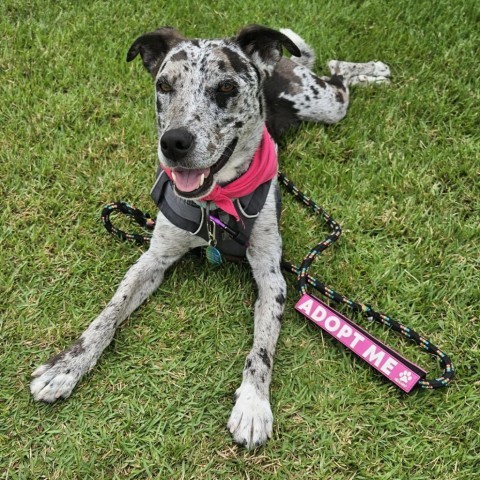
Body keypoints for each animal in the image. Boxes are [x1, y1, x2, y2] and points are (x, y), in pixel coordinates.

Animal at [31, 26, 390, 448]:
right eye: (164, 85)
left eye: (226, 88)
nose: (174, 142)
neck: (215, 204)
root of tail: (280, 60)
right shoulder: (153, 258)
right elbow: (109, 313)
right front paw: (67, 365)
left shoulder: (271, 276)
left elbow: (263, 347)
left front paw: (253, 403)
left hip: (327, 104)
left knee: (338, 76)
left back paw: (374, 71)